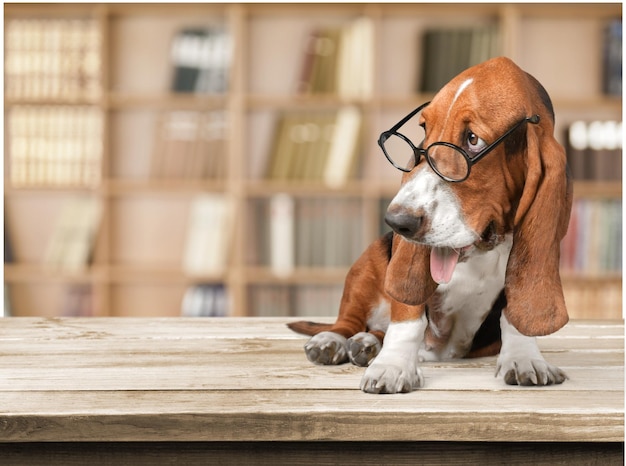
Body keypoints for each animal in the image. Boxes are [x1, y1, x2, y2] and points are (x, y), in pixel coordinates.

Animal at [288, 57, 572, 394]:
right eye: (424, 129)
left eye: (473, 140)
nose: (397, 222)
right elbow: (408, 319)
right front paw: (393, 365)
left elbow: (512, 315)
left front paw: (524, 357)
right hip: (367, 264)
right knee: (349, 321)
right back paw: (335, 341)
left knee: (376, 330)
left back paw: (368, 344)